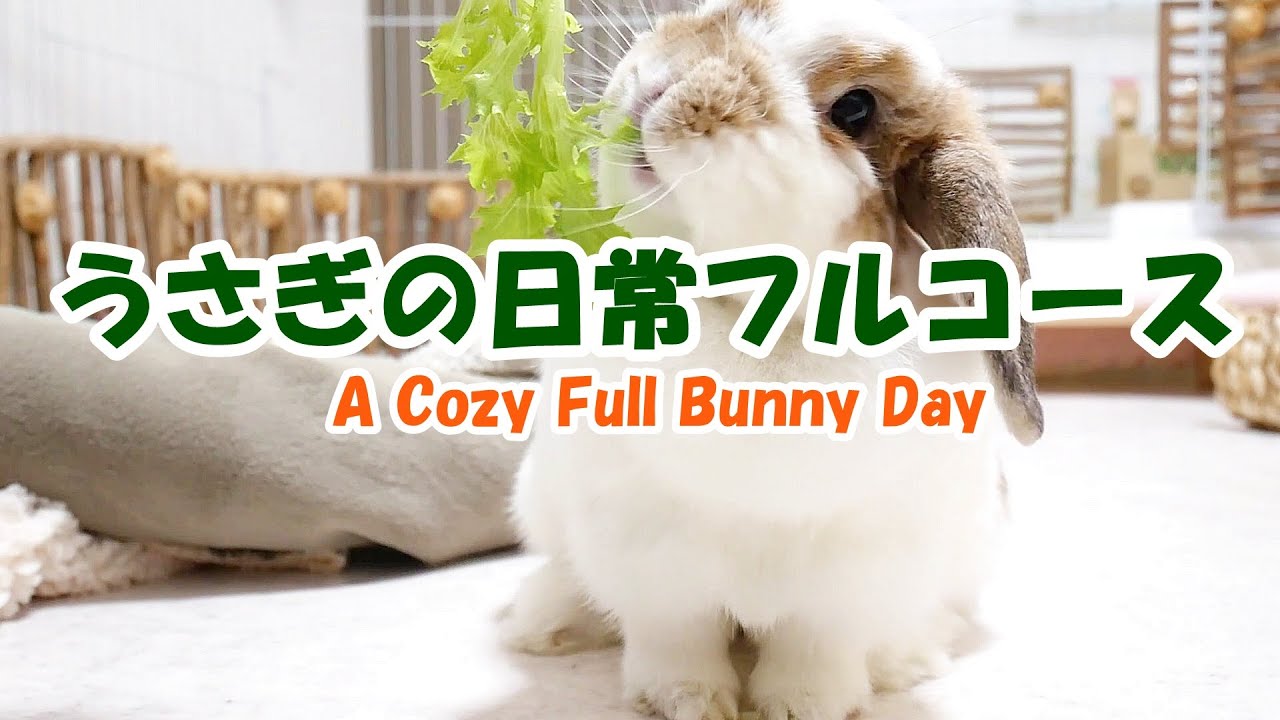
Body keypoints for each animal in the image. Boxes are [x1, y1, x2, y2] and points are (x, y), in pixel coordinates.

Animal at [497, 0, 1044, 718]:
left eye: (855, 109)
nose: (661, 83)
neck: (759, 318)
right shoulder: (650, 557)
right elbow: (676, 637)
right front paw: (688, 701)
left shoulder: (854, 573)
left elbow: (816, 649)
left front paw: (801, 705)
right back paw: (543, 623)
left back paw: (907, 659)